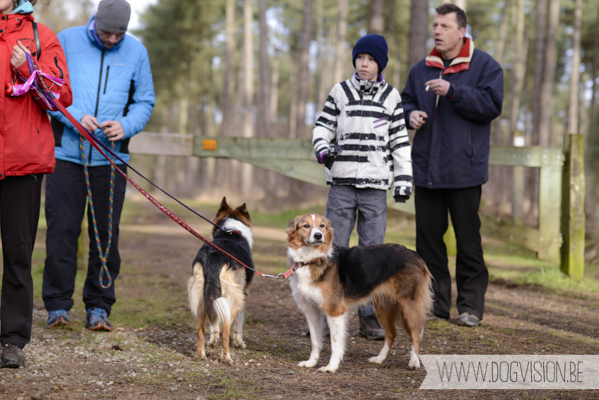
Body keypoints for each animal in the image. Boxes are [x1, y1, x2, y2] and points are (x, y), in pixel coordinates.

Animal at [186, 198, 254, 364]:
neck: (231, 232)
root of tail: (214, 255)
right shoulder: (244, 294)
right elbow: (238, 325)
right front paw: (239, 344)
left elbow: (214, 322)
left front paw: (213, 342)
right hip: (233, 298)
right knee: (226, 329)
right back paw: (226, 358)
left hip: (202, 296)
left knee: (201, 329)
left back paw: (200, 355)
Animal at [286, 214, 432, 374]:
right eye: (306, 226)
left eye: (322, 226)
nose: (318, 235)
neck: (312, 259)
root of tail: (414, 253)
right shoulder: (312, 312)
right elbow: (315, 341)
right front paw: (311, 363)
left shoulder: (335, 311)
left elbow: (335, 344)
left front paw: (331, 367)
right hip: (383, 306)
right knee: (391, 334)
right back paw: (379, 359)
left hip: (408, 305)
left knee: (416, 332)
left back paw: (414, 361)